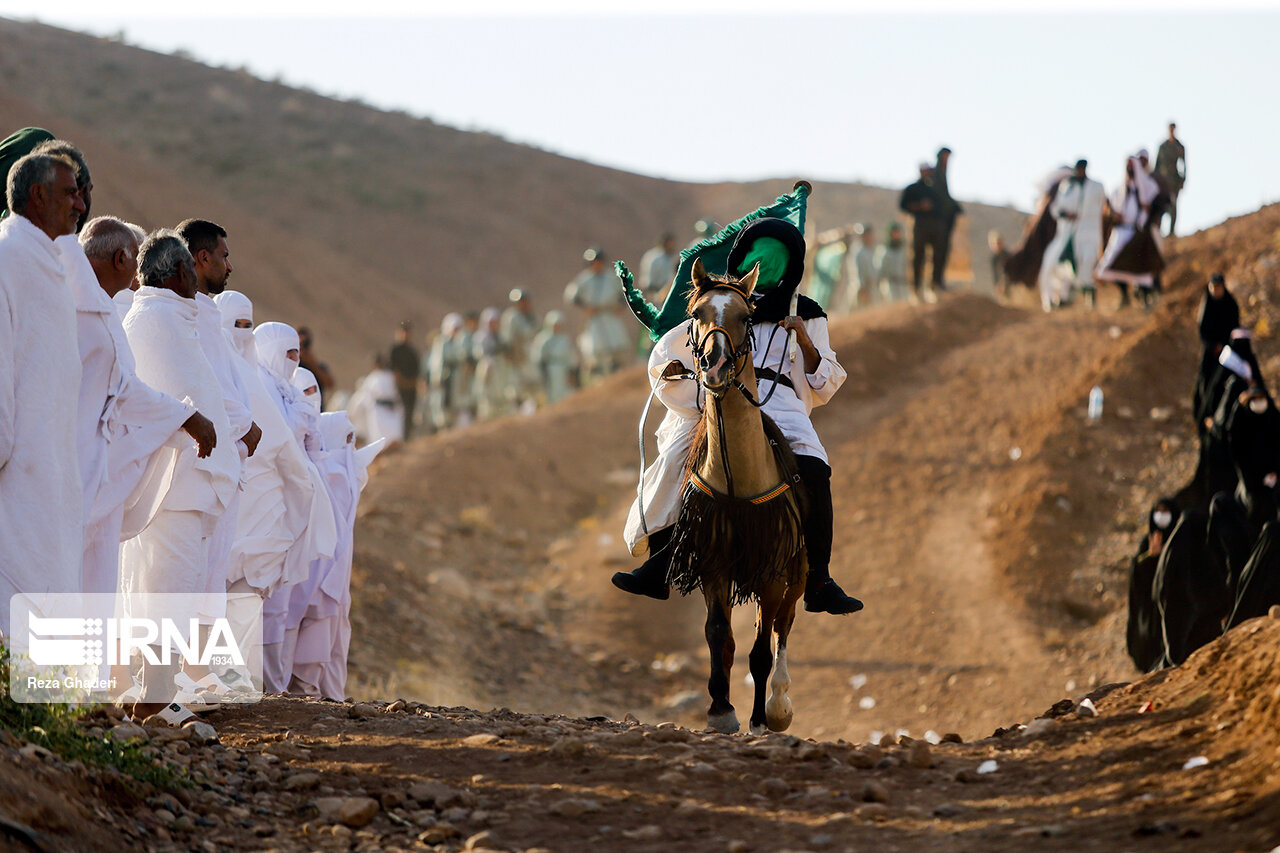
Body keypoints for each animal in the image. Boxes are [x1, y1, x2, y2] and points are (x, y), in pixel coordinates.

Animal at [670, 258, 808, 732]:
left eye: (746, 317)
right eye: (697, 314)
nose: (715, 367)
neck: (738, 481)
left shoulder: (772, 572)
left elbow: (762, 650)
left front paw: (761, 719)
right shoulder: (714, 563)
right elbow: (719, 636)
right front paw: (720, 710)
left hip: (796, 575)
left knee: (784, 627)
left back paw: (780, 704)